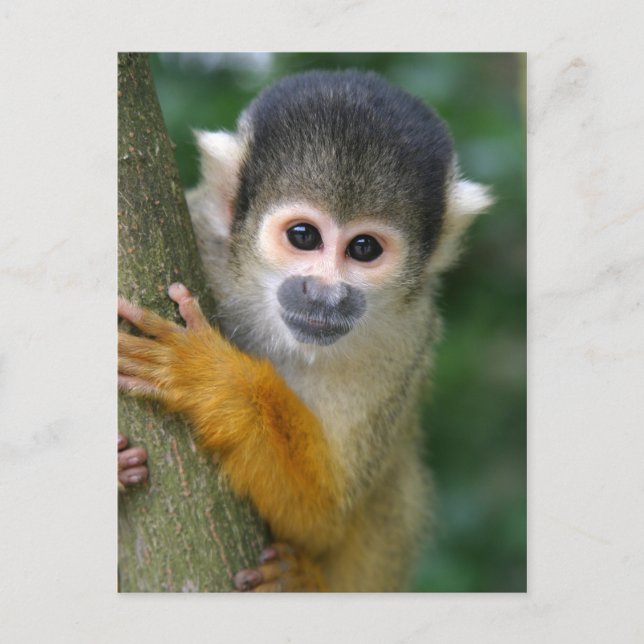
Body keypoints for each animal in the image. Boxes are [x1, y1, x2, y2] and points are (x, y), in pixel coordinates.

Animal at [118, 69, 492, 592]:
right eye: (303, 236)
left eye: (363, 248)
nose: (323, 295)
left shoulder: (404, 338)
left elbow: (321, 516)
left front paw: (212, 378)